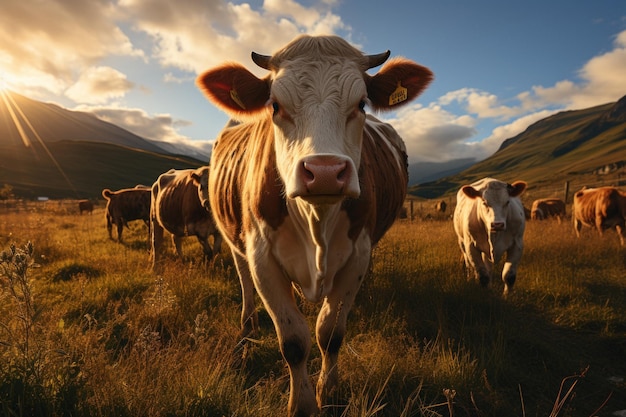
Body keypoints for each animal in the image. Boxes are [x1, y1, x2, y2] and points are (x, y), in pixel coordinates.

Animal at [197, 35, 432, 416]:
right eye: (275, 105)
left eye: (361, 104)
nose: (324, 172)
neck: (316, 225)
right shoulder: (263, 258)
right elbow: (294, 340)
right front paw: (302, 404)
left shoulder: (356, 256)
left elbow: (330, 333)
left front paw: (328, 391)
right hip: (236, 242)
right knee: (244, 279)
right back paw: (247, 328)